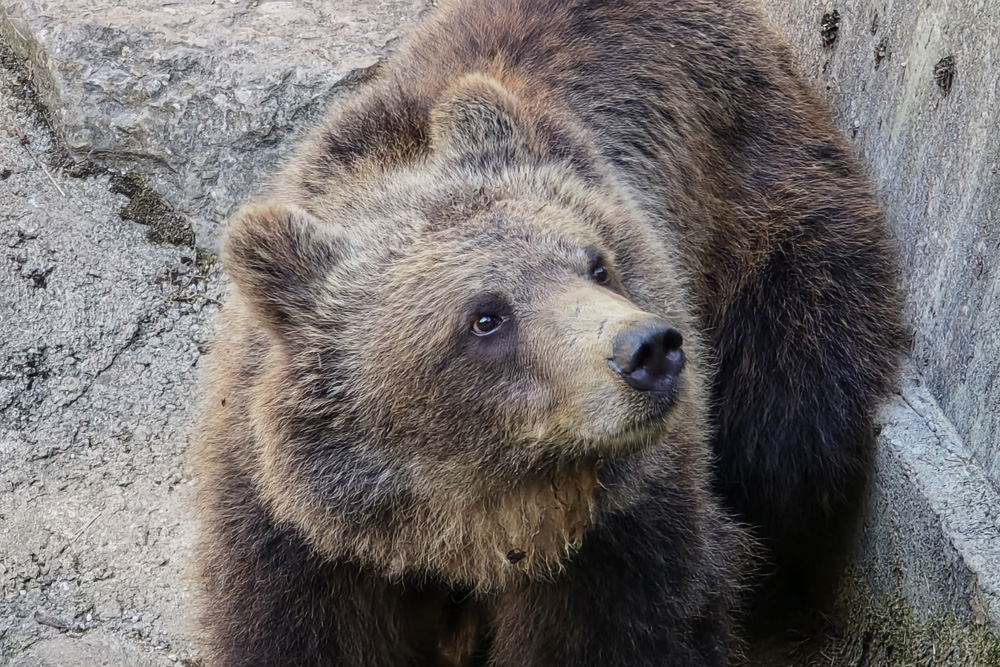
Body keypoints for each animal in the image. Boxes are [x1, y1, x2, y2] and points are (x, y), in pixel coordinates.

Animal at [191, 0, 904, 664]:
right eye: (486, 317)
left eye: (597, 264)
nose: (648, 349)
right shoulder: (299, 536)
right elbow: (296, 632)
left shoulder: (620, 529)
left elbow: (627, 630)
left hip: (764, 214)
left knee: (789, 430)